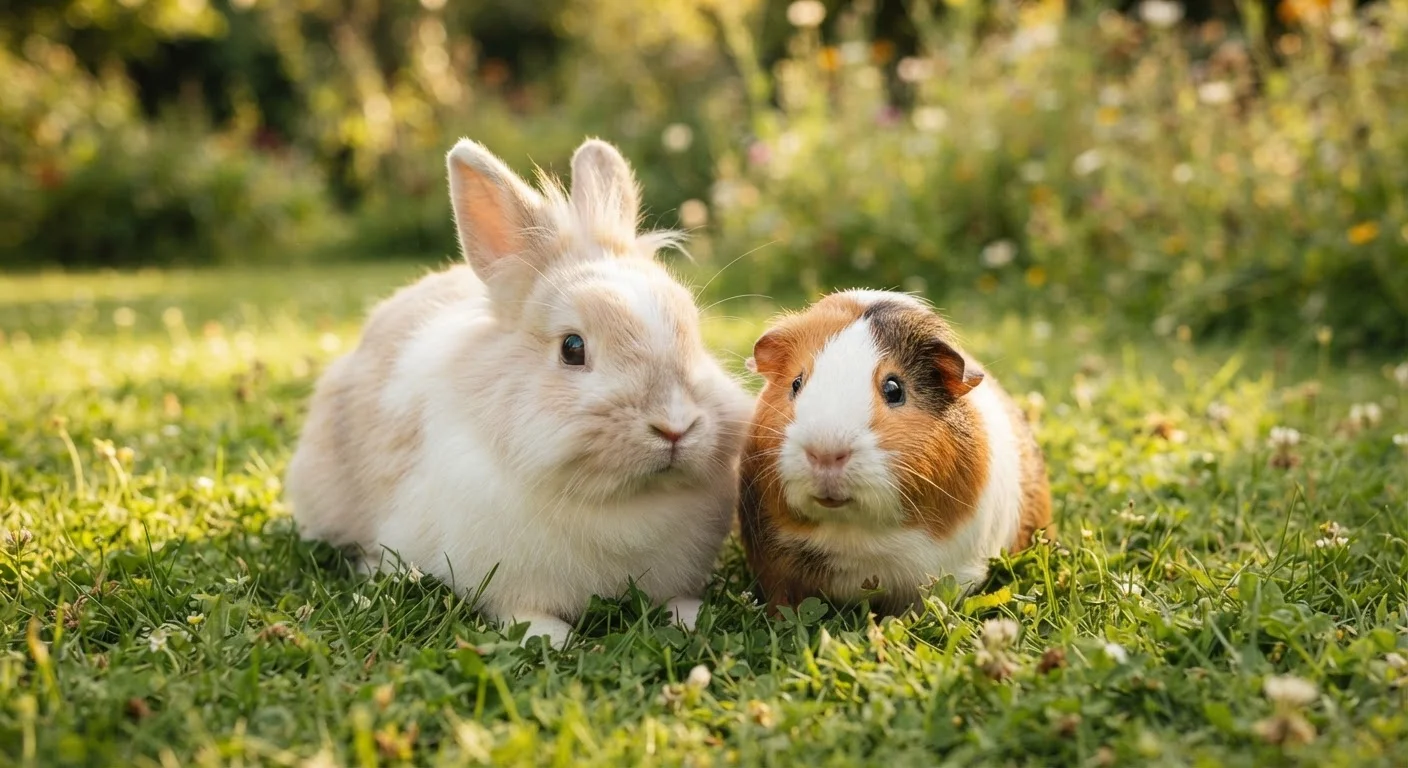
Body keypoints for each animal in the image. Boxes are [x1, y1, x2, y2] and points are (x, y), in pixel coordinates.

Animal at [285, 137, 752, 647]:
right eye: (572, 348)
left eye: (694, 334)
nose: (675, 426)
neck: (623, 501)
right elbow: (523, 610)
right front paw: (554, 640)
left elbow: (677, 599)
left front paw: (692, 619)